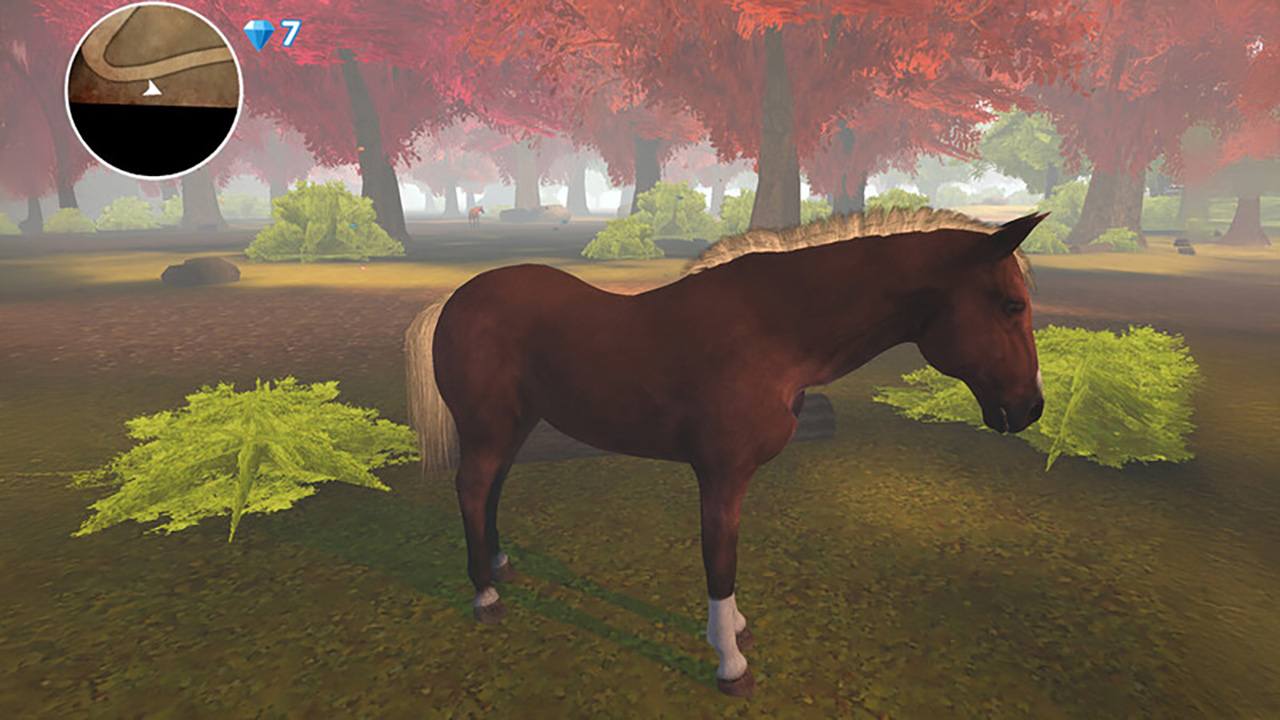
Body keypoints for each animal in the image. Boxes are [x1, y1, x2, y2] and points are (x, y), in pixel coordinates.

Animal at [404, 208, 1047, 697]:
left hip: (515, 426)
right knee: (473, 488)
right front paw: (731, 663)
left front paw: (736, 631)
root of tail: (454, 300)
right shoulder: (720, 474)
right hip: (488, 428)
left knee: (492, 488)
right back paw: (485, 594)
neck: (770, 330)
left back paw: (500, 565)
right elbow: (721, 561)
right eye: (1011, 306)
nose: (1030, 408)